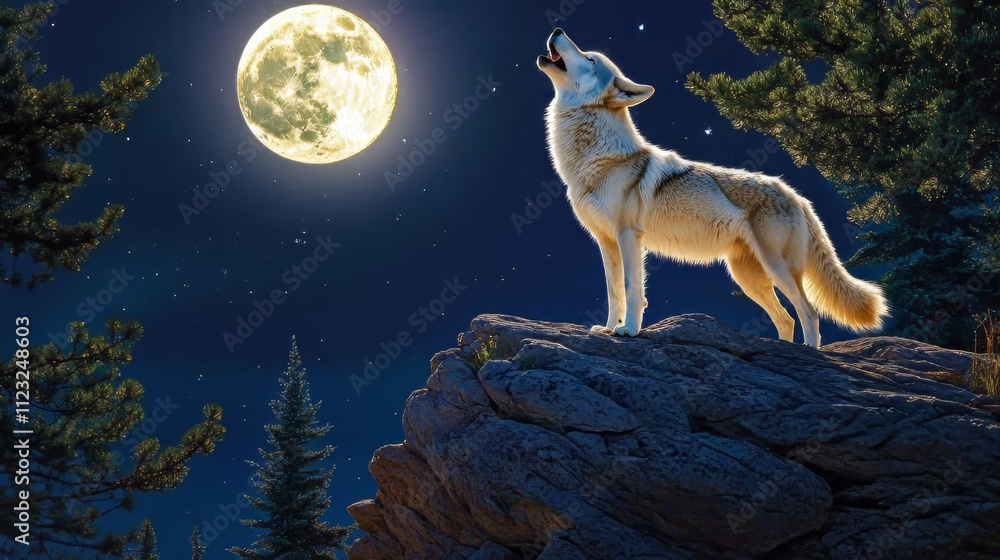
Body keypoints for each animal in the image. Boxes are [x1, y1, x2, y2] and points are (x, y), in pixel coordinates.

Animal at [537, 28, 888, 347]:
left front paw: (630, 331)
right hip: (749, 278)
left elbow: (633, 290)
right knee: (786, 319)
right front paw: (610, 328)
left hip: (777, 270)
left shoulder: (629, 236)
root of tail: (798, 197)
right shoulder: (606, 241)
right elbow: (614, 293)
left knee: (809, 314)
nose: (557, 30)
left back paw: (807, 354)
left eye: (590, 59)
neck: (596, 159)